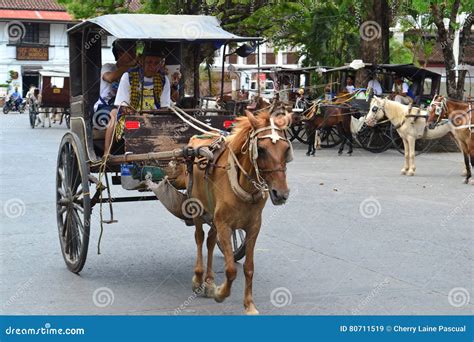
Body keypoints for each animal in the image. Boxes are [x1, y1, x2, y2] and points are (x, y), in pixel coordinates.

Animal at [175, 108, 290, 314]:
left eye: (286, 149)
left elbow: (249, 268)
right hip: (198, 210)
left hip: (213, 215)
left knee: (210, 241)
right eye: (261, 150)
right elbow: (231, 269)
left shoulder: (254, 226)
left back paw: (209, 281)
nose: (281, 193)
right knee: (199, 238)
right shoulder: (224, 224)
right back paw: (198, 278)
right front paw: (221, 293)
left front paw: (249, 305)